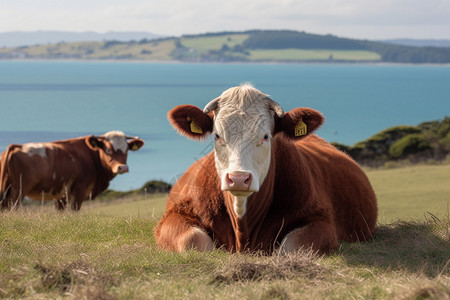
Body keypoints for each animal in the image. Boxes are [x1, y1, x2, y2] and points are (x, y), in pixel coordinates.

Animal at [0, 131, 143, 211]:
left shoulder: (62, 194)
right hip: (18, 190)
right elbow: (73, 210)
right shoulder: (79, 189)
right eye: (108, 150)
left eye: (127, 150)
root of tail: (15, 147)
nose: (122, 167)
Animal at [156, 83, 378, 254]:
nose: (238, 178)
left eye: (265, 136)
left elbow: (290, 247)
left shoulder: (321, 221)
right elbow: (194, 241)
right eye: (217, 135)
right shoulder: (176, 214)